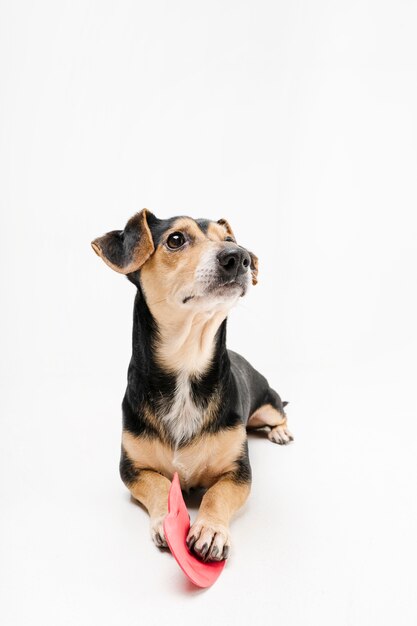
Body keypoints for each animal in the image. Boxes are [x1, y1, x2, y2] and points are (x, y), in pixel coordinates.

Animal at [92, 210, 292, 560]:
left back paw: (279, 432)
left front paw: (210, 530)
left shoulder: (238, 473)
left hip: (268, 404)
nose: (239, 257)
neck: (187, 365)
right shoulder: (132, 468)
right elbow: (160, 485)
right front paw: (167, 520)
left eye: (230, 240)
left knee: (281, 412)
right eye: (175, 239)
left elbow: (216, 494)